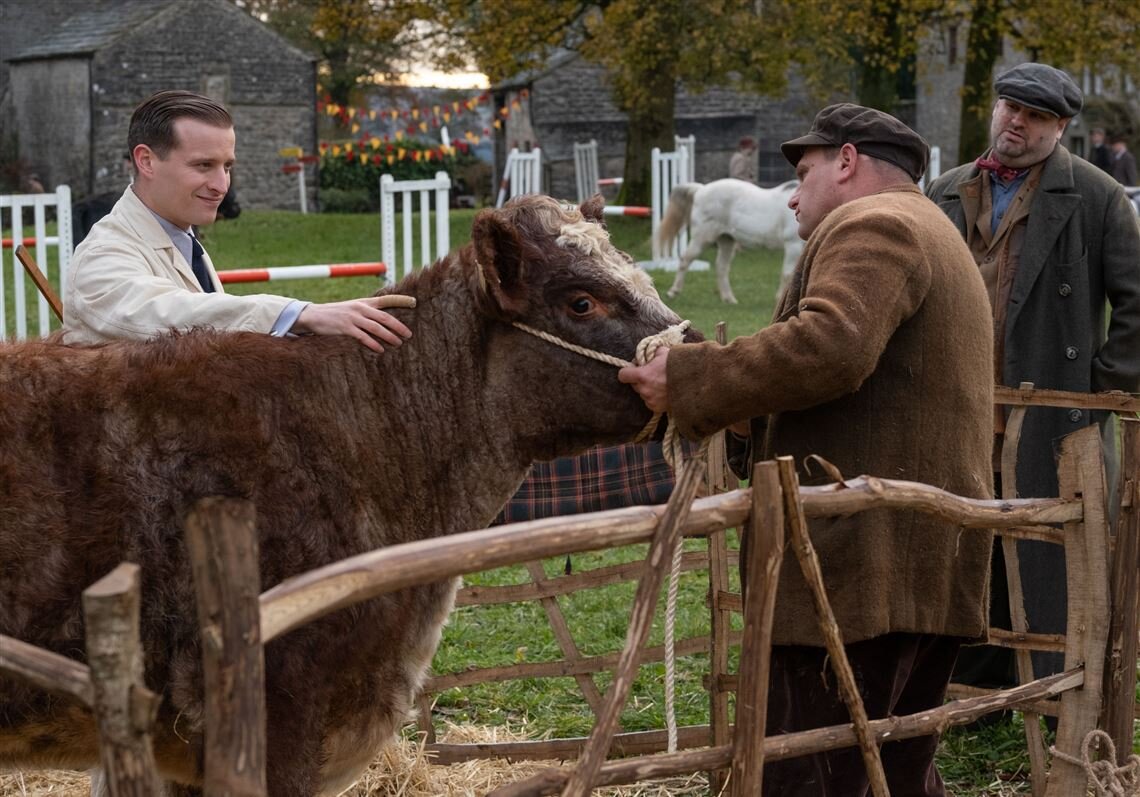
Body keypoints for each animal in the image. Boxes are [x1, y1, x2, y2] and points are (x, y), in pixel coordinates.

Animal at [656, 179, 807, 303]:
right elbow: (788, 274)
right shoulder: (793, 245)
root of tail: (701, 189)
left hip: (726, 240)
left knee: (721, 267)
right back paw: (673, 291)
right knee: (685, 260)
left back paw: (729, 298)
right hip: (702, 238)